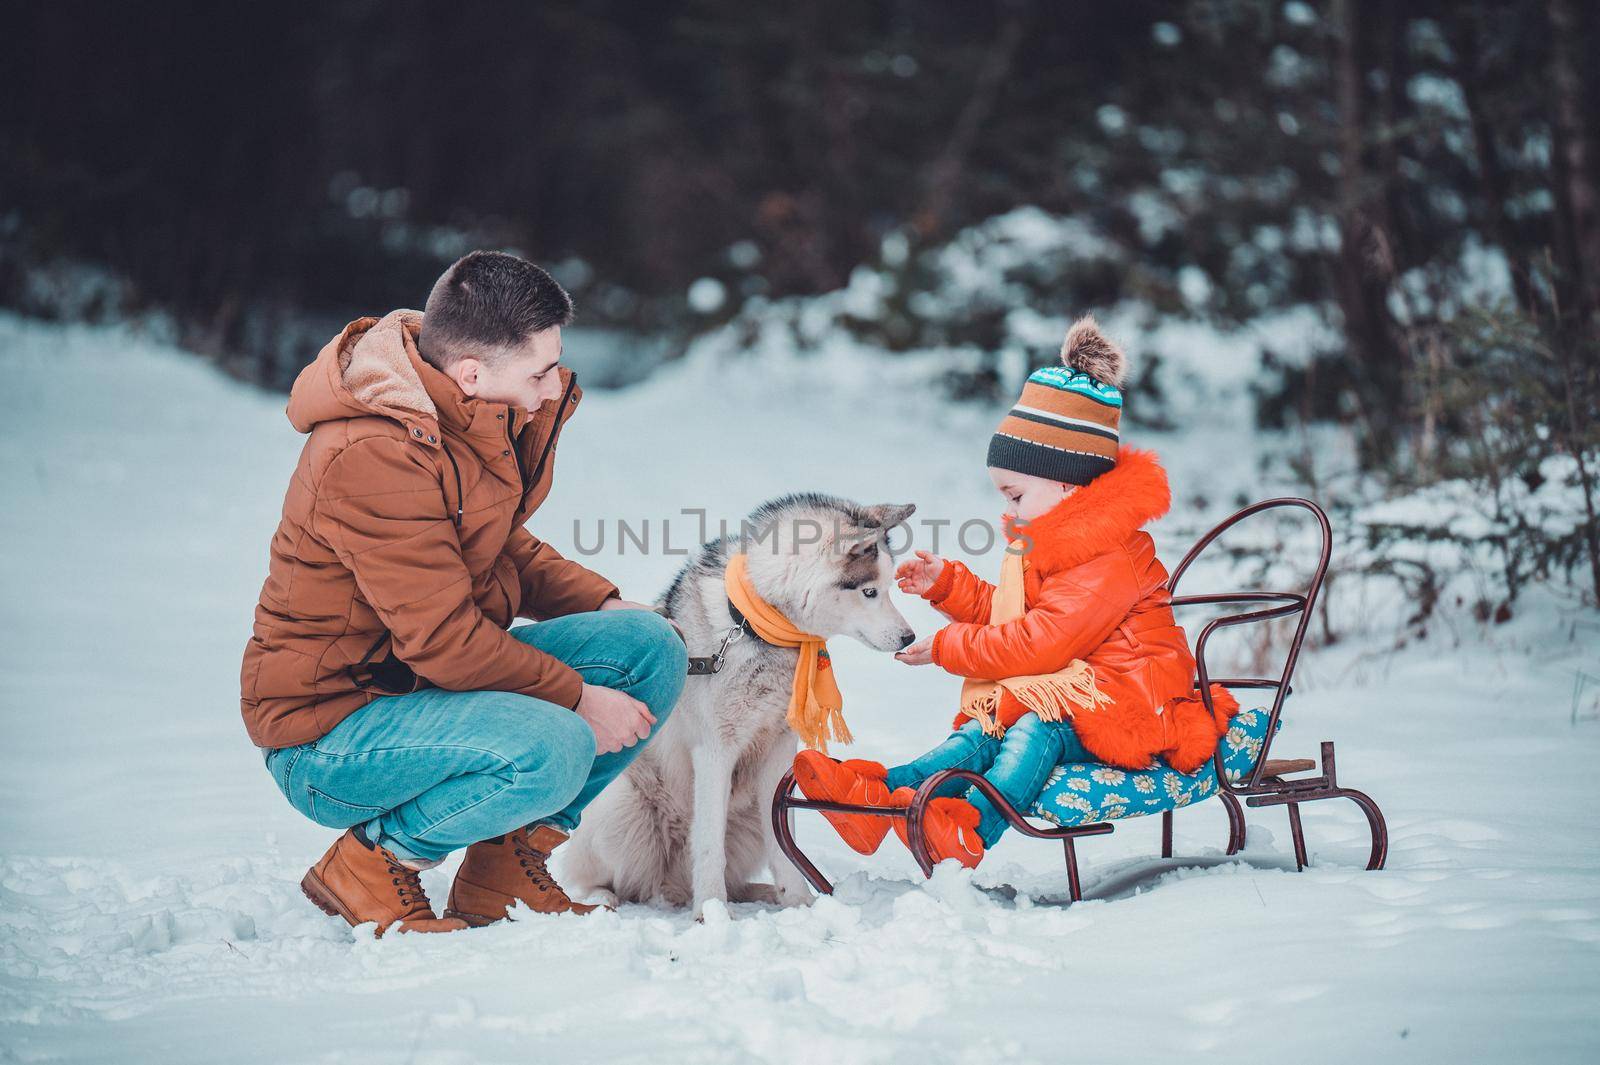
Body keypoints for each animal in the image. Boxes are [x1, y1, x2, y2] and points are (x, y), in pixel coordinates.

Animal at [560, 492, 915, 914]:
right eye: (869, 592)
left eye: (889, 588)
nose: (910, 637)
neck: (752, 627)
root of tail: (671, 886)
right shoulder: (715, 751)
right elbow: (709, 846)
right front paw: (711, 913)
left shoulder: (779, 753)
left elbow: (785, 846)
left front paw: (798, 903)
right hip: (621, 806)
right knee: (603, 881)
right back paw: (605, 898)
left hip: (747, 822)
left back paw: (757, 893)